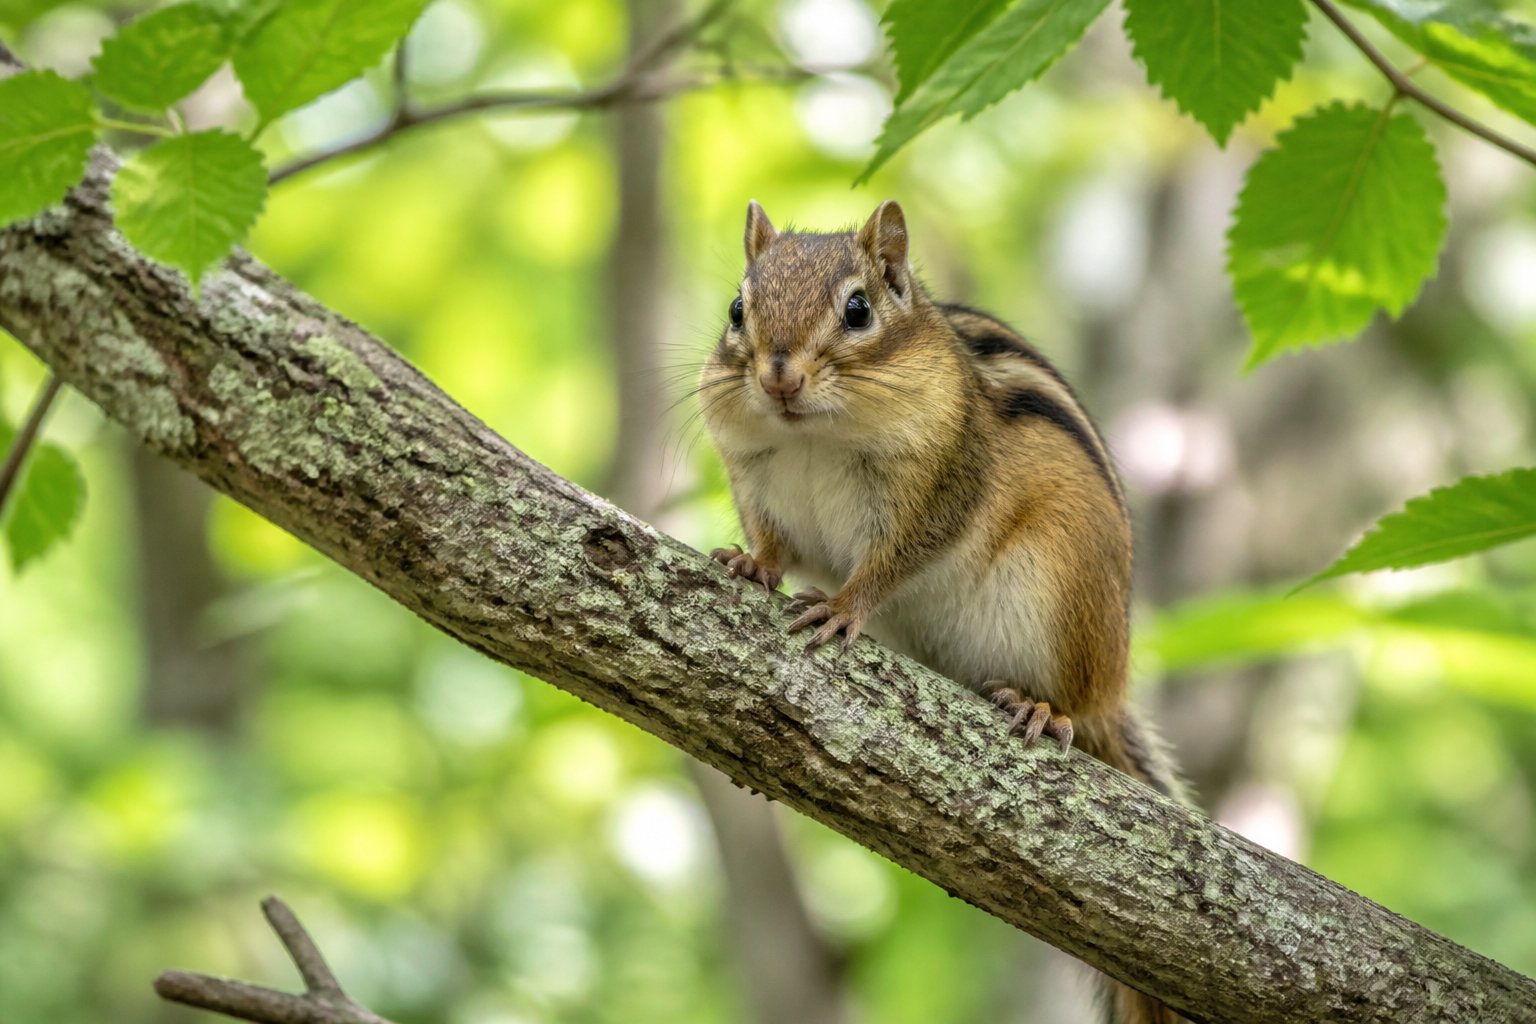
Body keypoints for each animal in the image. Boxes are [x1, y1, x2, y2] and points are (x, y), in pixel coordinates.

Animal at [699, 200, 1185, 1024]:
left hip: (1067, 598)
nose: (778, 374)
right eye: (738, 309)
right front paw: (752, 565)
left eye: (858, 310)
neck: (814, 436)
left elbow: (893, 563)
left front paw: (842, 607)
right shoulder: (757, 481)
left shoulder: (943, 485)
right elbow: (774, 542)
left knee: (1080, 700)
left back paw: (1042, 708)